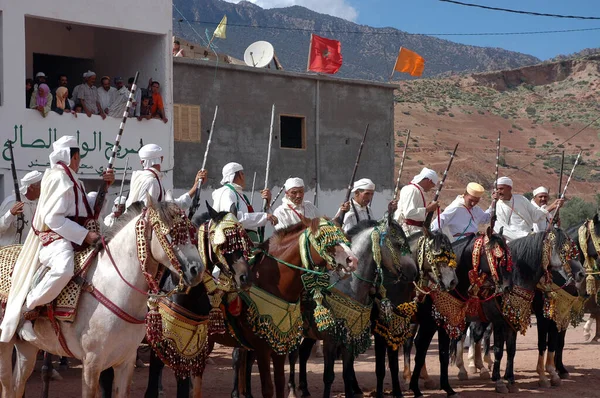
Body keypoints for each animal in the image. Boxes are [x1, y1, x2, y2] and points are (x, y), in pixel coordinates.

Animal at [0, 202, 204, 398]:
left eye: (191, 232)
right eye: (170, 233)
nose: (197, 270)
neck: (114, 288)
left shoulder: (126, 361)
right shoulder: (92, 362)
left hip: (27, 347)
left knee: (16, 387)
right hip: (5, 345)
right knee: (7, 388)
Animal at [199, 218, 356, 398]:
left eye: (344, 236)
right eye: (322, 238)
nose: (352, 260)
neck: (270, 284)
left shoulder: (280, 346)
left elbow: (280, 383)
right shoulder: (262, 349)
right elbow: (268, 388)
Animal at [288, 218, 420, 398]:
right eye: (399, 244)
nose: (414, 272)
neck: (348, 285)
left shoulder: (351, 337)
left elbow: (347, 373)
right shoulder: (332, 339)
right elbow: (329, 376)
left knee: (303, 352)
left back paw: (305, 389)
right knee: (293, 356)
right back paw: (292, 390)